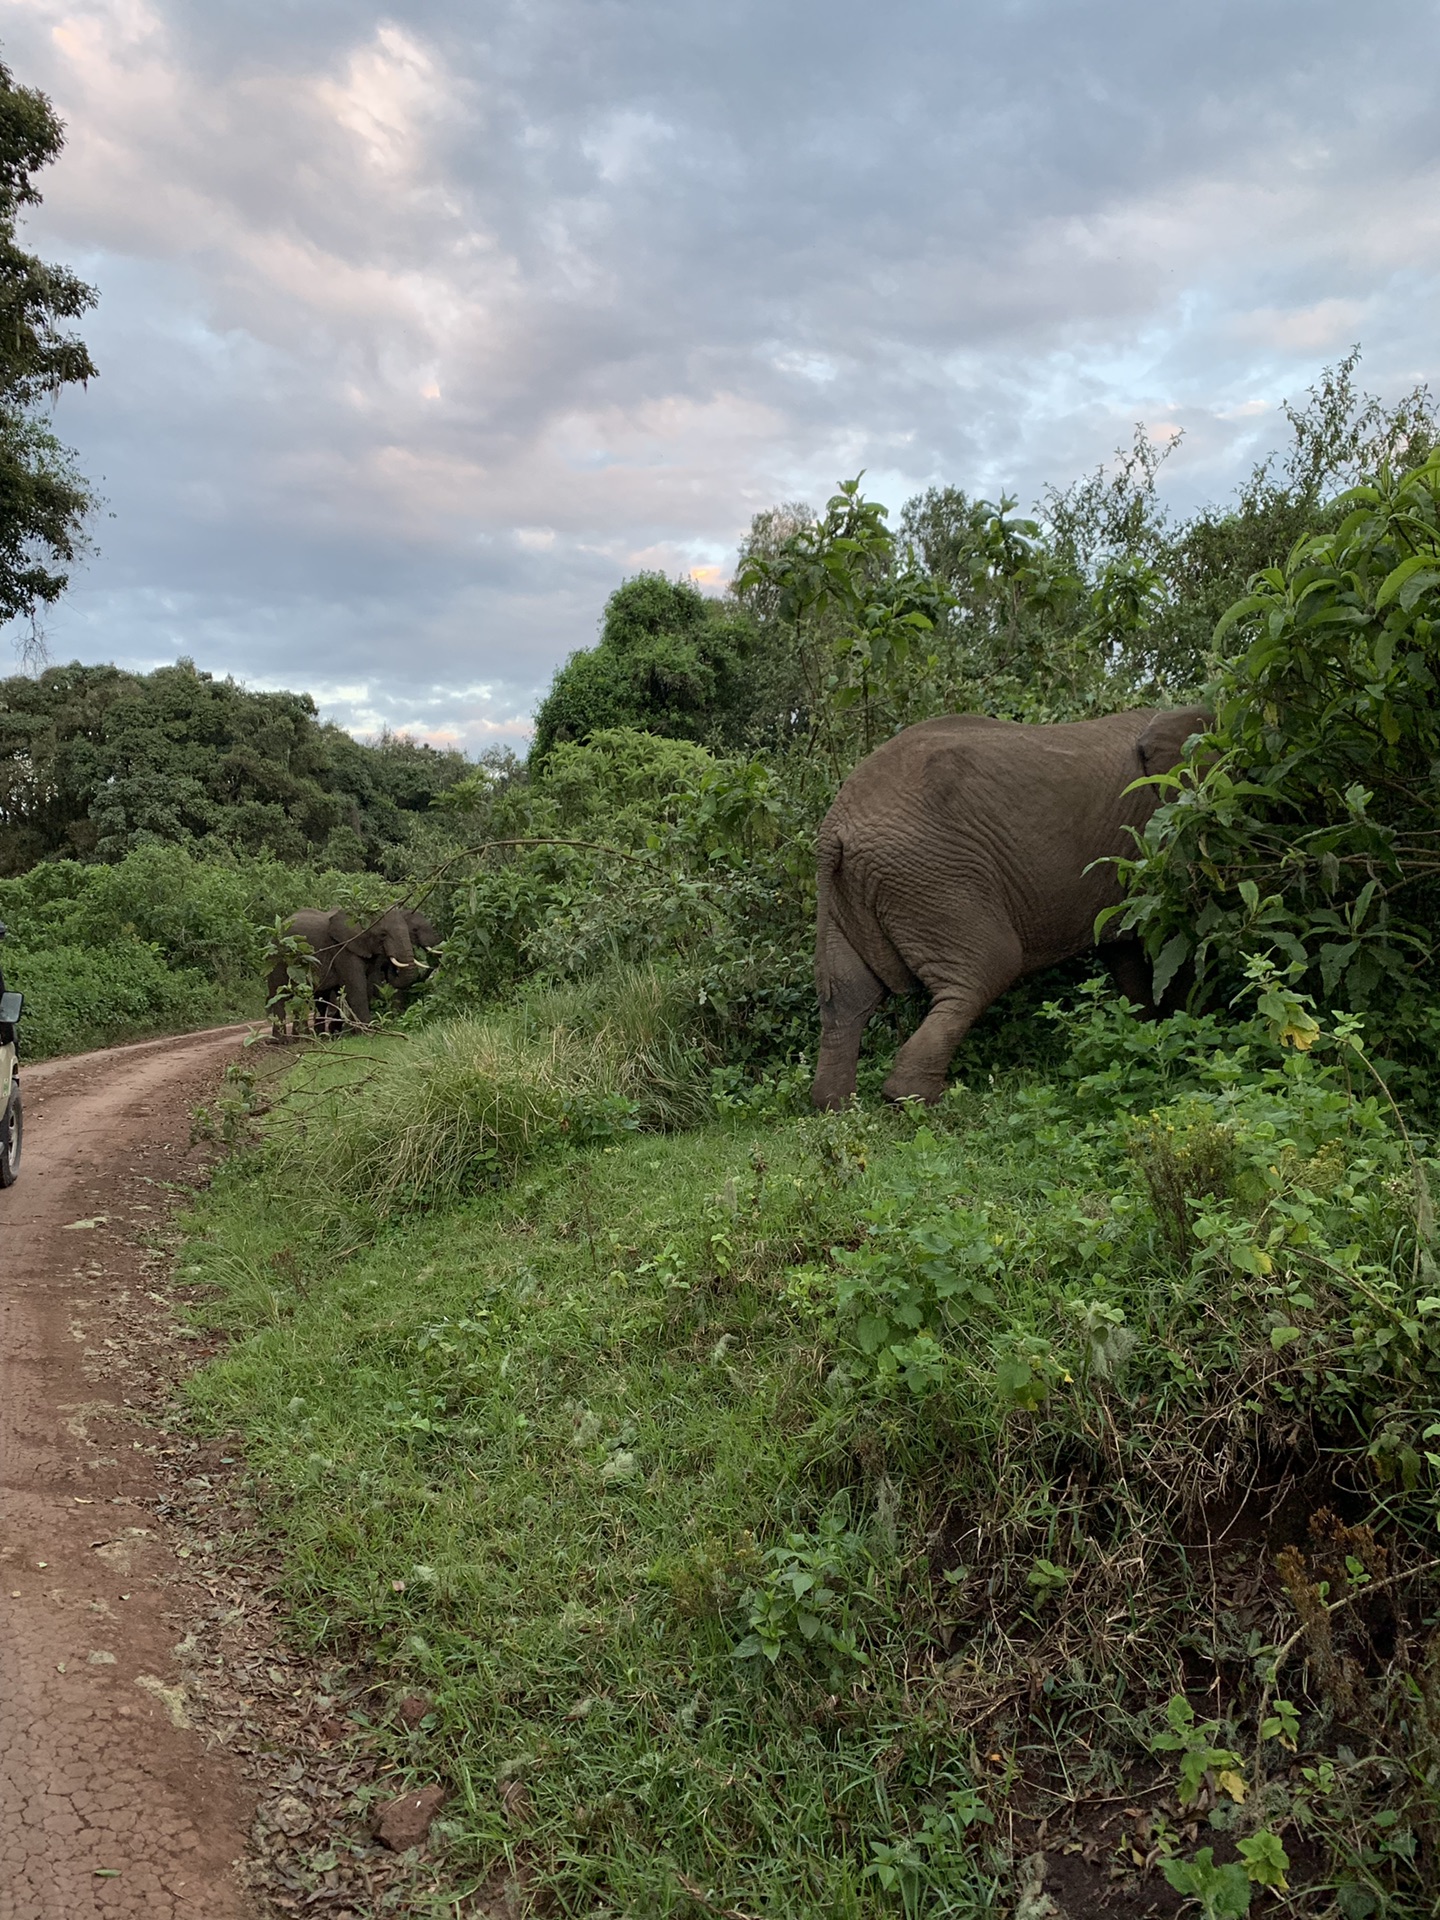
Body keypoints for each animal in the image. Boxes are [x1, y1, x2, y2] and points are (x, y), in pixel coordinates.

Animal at [268, 910, 420, 1044]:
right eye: (383, 934)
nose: (390, 964)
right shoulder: (343, 950)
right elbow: (357, 988)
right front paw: (368, 1032)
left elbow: (367, 988)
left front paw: (353, 1033)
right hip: (278, 959)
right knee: (279, 995)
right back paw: (283, 1041)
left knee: (313, 999)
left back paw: (313, 1038)